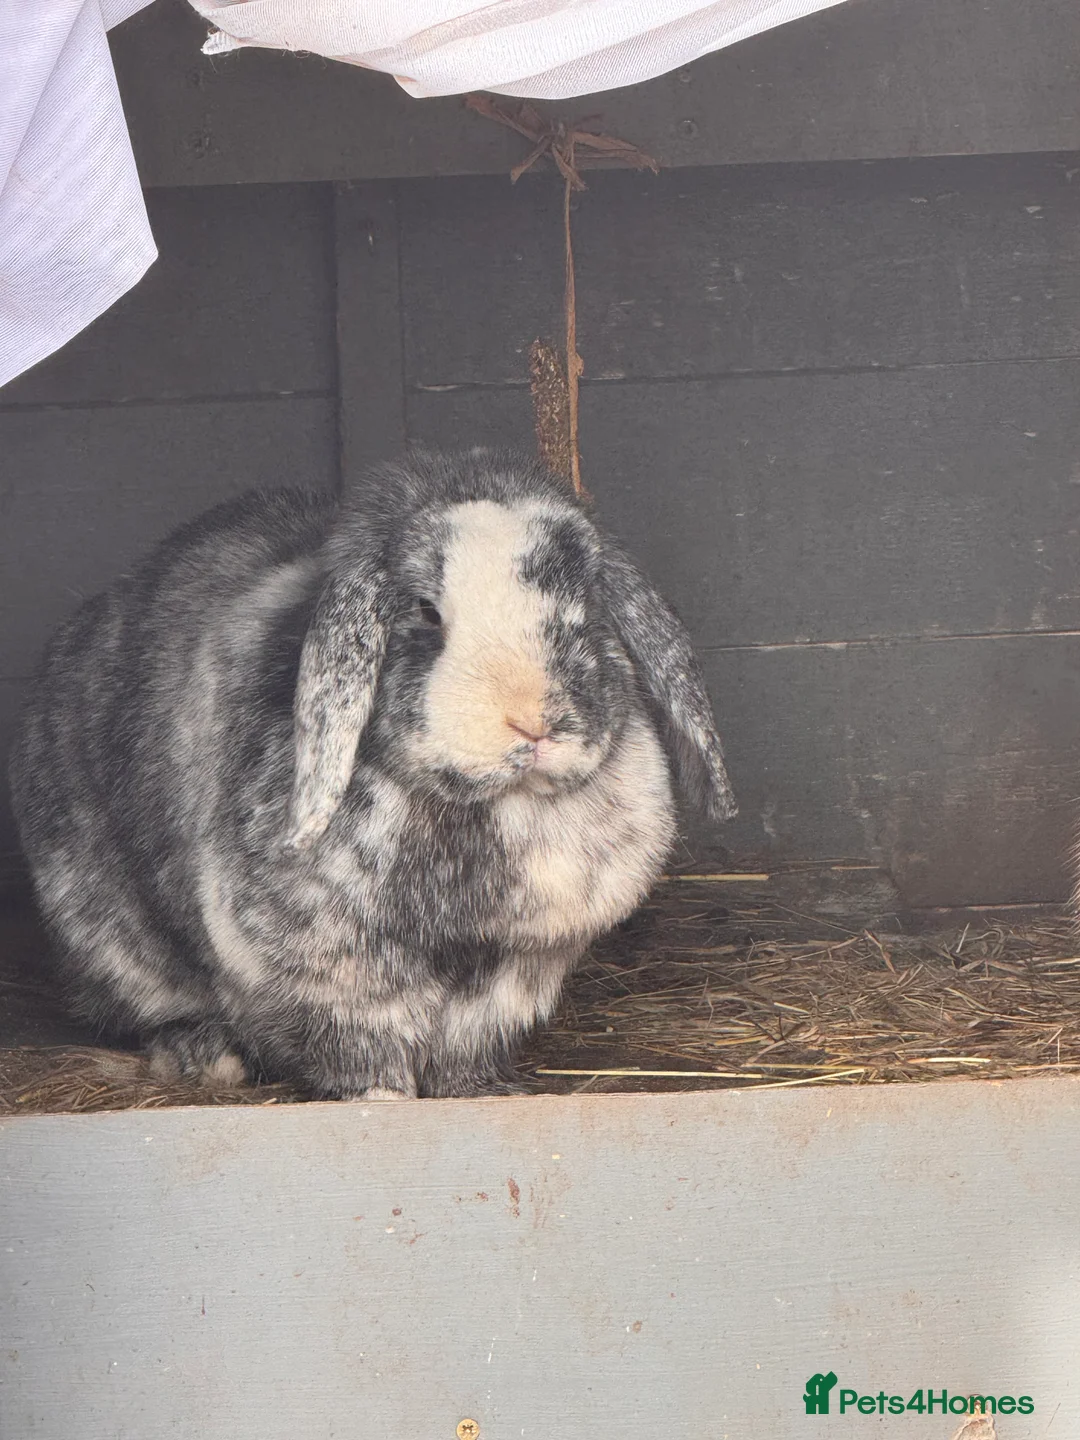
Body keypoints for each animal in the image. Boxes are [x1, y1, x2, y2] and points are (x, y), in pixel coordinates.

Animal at [9, 448, 735, 1099]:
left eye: (587, 606)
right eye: (425, 612)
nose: (532, 721)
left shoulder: (512, 976)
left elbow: (468, 1045)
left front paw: (480, 1092)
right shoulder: (330, 974)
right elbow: (363, 1048)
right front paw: (381, 1099)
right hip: (107, 935)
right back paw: (203, 1055)